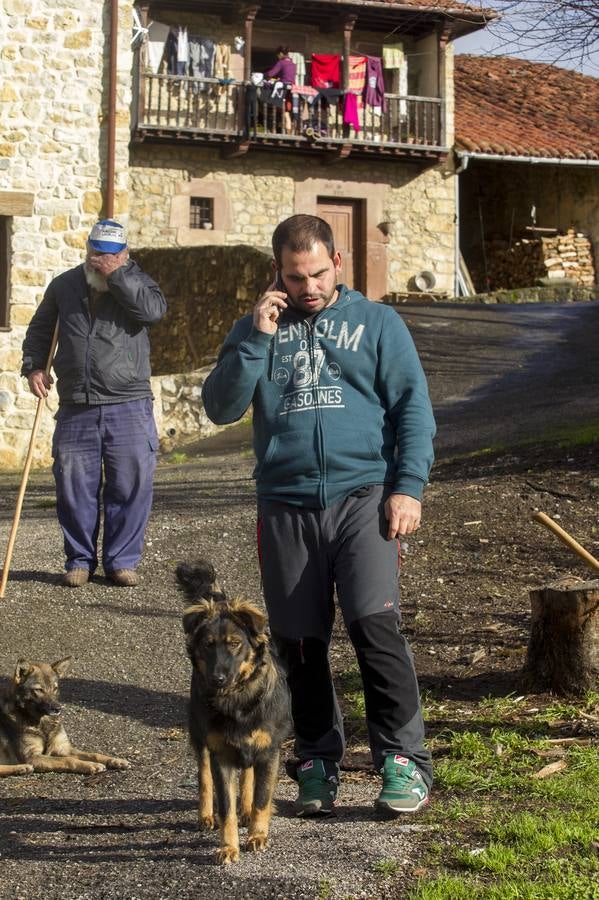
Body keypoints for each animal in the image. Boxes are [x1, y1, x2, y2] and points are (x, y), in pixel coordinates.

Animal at [0, 656, 131, 776]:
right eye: (39, 690)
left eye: (55, 688)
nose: (58, 709)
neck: (43, 722)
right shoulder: (32, 757)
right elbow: (68, 760)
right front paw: (90, 765)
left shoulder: (63, 748)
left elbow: (94, 754)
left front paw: (115, 760)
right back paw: (21, 767)